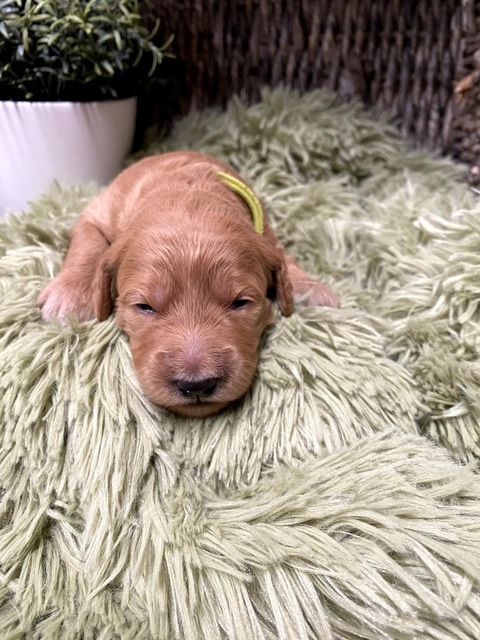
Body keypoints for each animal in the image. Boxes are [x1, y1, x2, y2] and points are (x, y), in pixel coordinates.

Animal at [37, 152, 338, 418]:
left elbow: (283, 255)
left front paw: (308, 287)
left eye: (241, 302)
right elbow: (87, 242)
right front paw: (70, 295)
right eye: (144, 306)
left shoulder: (264, 230)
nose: (196, 385)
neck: (186, 190)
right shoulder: (95, 214)